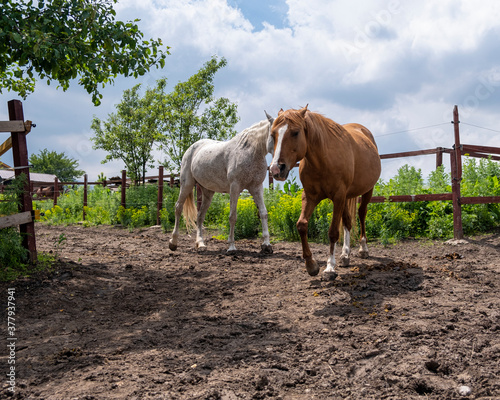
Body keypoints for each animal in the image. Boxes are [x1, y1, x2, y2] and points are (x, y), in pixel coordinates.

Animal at [170, 113, 276, 253]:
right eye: (274, 134)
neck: (250, 151)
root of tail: (191, 148)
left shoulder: (256, 188)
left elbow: (263, 213)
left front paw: (267, 245)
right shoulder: (235, 187)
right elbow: (233, 216)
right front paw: (231, 247)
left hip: (208, 192)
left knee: (200, 216)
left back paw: (201, 243)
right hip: (186, 185)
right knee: (178, 208)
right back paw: (173, 242)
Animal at [270, 106, 378, 282]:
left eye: (295, 132)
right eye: (273, 134)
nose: (276, 169)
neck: (323, 160)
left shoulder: (338, 197)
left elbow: (333, 232)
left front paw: (329, 268)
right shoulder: (310, 197)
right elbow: (301, 225)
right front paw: (311, 265)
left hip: (368, 190)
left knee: (361, 214)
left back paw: (363, 249)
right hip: (346, 197)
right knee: (347, 221)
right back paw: (345, 255)